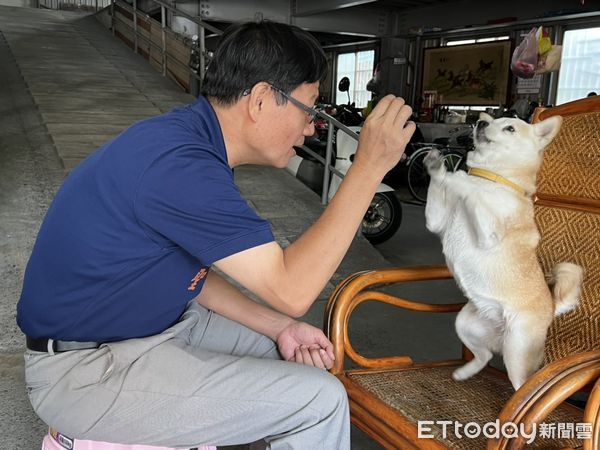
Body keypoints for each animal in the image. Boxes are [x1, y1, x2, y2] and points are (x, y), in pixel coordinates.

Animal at [424, 112, 584, 390]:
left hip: (517, 352)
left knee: (521, 385)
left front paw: (457, 176)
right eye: (490, 120)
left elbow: (471, 188)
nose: (480, 121)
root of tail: (552, 308)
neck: (492, 177)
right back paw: (465, 372)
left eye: (509, 128)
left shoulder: (488, 235)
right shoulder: (436, 221)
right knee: (485, 356)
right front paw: (437, 167)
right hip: (465, 323)